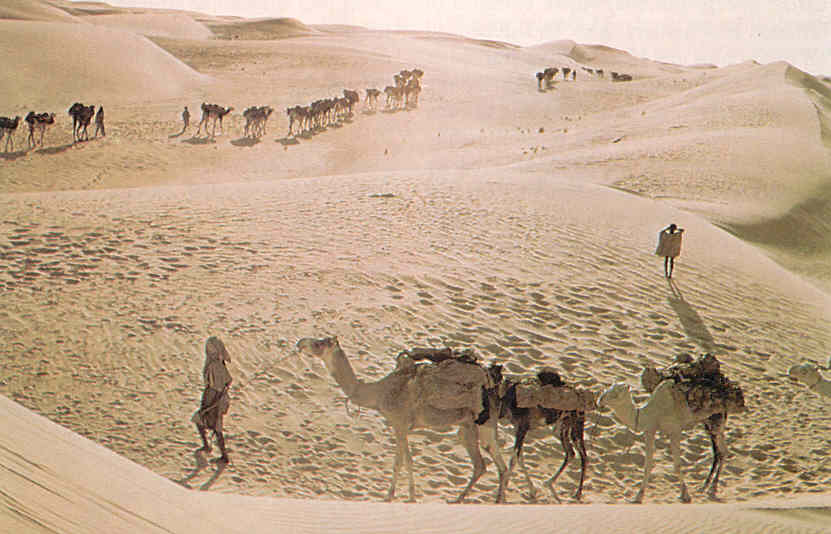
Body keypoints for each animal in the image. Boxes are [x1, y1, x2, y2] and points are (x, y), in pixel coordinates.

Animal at [296, 336, 507, 503]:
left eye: (319, 343)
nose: (300, 343)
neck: (378, 392)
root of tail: (493, 387)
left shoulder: (400, 424)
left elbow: (404, 461)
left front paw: (402, 497)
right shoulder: (399, 426)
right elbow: (402, 460)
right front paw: (398, 495)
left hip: (476, 425)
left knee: (485, 465)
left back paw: (462, 500)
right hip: (477, 427)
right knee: (495, 465)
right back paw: (493, 501)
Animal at [598, 380, 744, 503]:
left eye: (616, 392)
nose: (600, 399)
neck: (649, 413)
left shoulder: (674, 431)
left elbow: (676, 465)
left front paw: (685, 495)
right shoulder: (650, 431)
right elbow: (648, 465)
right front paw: (638, 496)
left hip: (715, 421)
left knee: (721, 451)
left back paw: (711, 487)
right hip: (711, 423)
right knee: (721, 451)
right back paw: (706, 486)